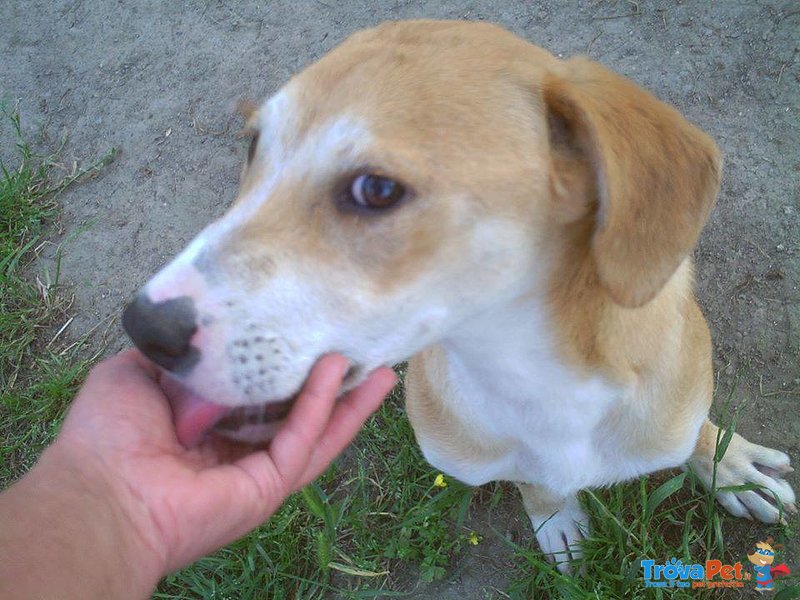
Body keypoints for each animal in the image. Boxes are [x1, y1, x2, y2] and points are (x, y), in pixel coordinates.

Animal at [123, 19, 792, 572]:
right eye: (253, 145)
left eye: (376, 189)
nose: (143, 328)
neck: (538, 377)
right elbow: (533, 482)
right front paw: (556, 518)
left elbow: (695, 428)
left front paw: (731, 466)